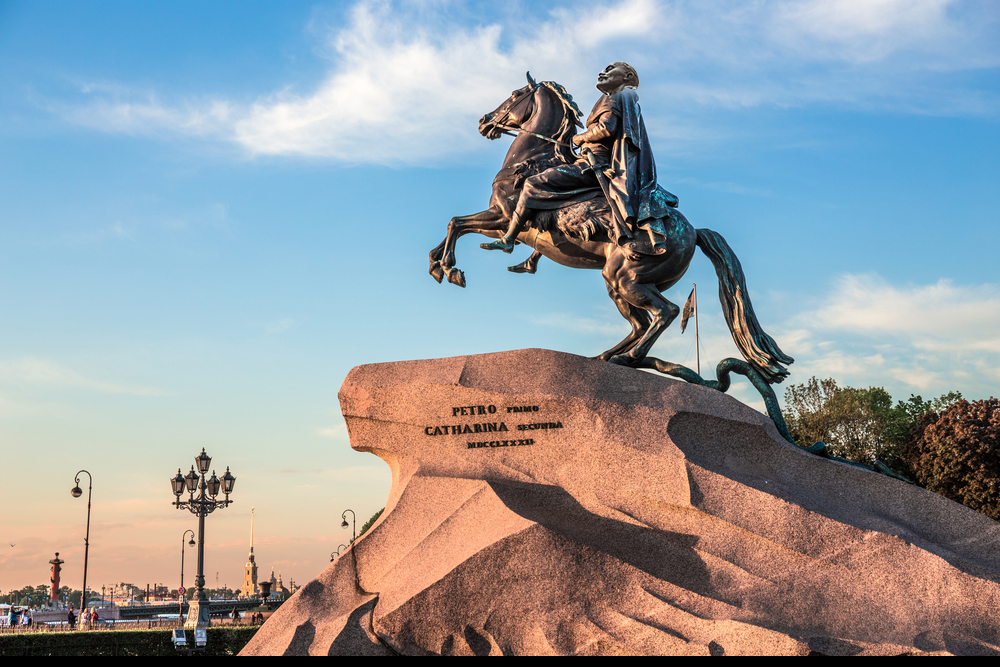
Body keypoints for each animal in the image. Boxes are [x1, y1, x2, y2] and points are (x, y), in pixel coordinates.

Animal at [426, 73, 792, 384]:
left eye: (515, 94)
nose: (484, 121)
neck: (535, 157)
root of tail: (692, 232)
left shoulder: (502, 215)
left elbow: (460, 224)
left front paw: (452, 268)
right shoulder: (497, 218)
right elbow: (453, 227)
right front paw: (438, 265)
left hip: (624, 277)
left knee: (666, 312)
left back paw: (626, 358)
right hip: (616, 281)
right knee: (641, 323)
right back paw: (607, 357)